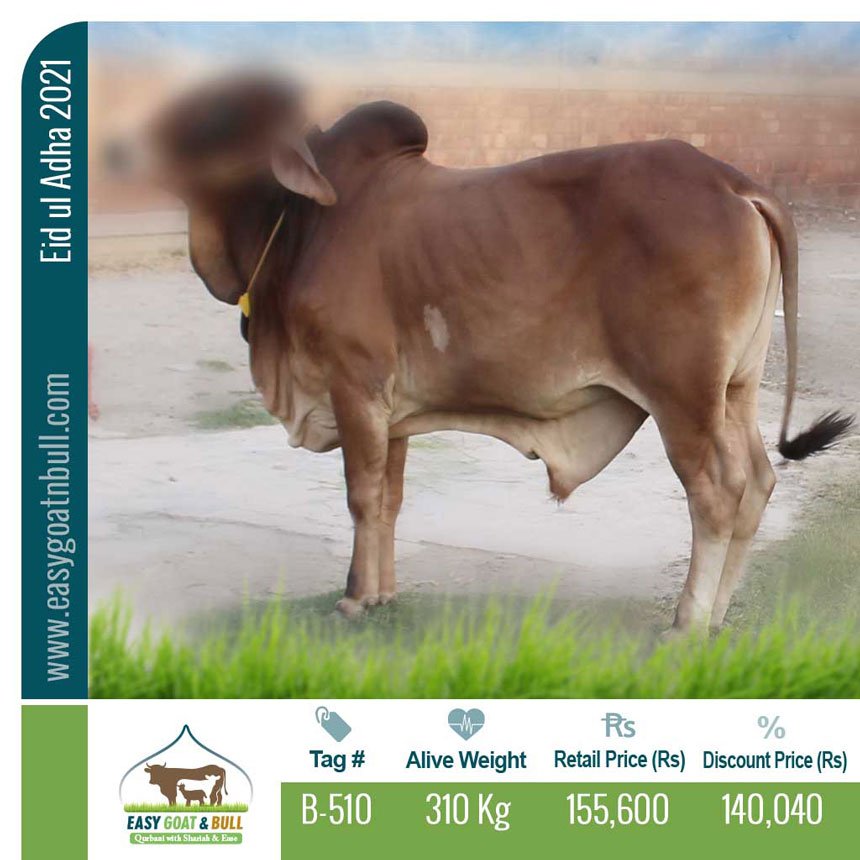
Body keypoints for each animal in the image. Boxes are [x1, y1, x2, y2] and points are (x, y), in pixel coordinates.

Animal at [118, 74, 852, 632]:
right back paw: (719, 616)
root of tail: (734, 183)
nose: (121, 148)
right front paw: (382, 593)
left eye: (216, 116)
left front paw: (353, 598)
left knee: (718, 494)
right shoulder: (393, 412)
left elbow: (360, 496)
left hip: (684, 399)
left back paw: (688, 620)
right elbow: (389, 498)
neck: (297, 224)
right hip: (736, 389)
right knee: (759, 481)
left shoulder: (354, 387)